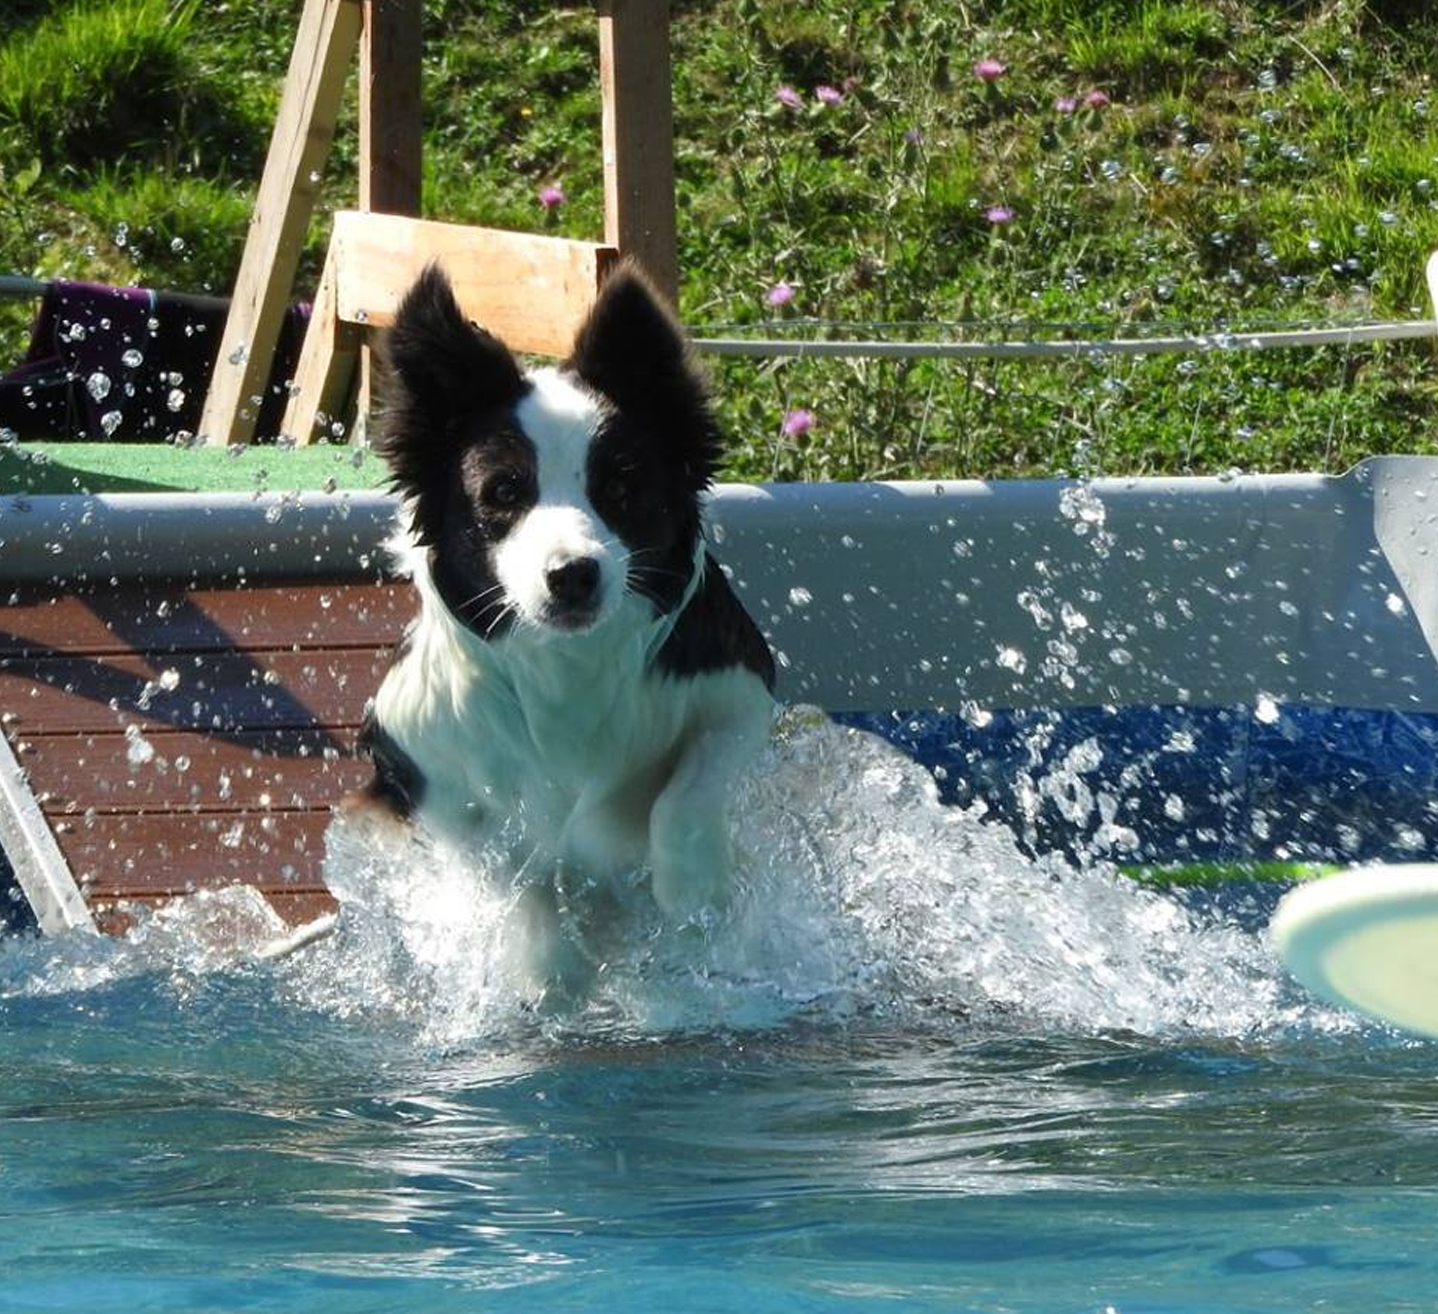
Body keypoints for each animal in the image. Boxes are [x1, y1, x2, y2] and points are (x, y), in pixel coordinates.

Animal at [356, 261, 776, 989]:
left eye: (622, 488)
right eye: (503, 492)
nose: (573, 575)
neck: (569, 663)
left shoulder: (740, 687)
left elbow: (686, 795)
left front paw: (693, 892)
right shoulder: (415, 756)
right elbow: (512, 871)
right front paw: (550, 971)